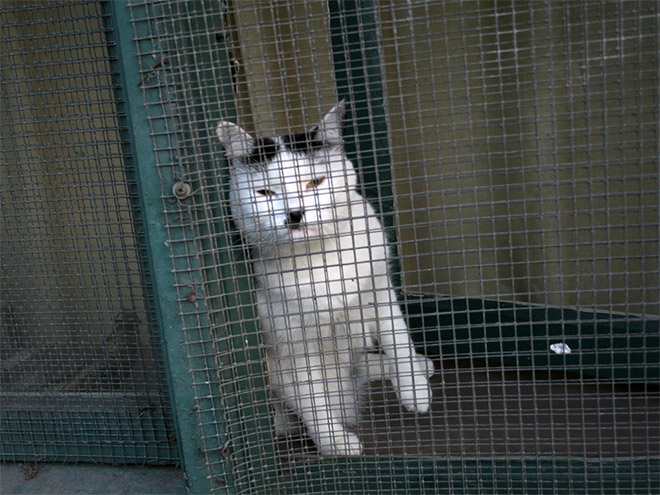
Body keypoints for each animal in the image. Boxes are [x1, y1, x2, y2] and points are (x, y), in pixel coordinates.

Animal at [217, 101, 434, 458]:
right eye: (266, 192)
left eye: (315, 182)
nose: (295, 214)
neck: (318, 256)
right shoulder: (289, 347)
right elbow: (313, 400)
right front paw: (334, 440)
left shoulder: (380, 291)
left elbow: (399, 340)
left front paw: (414, 391)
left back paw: (419, 366)